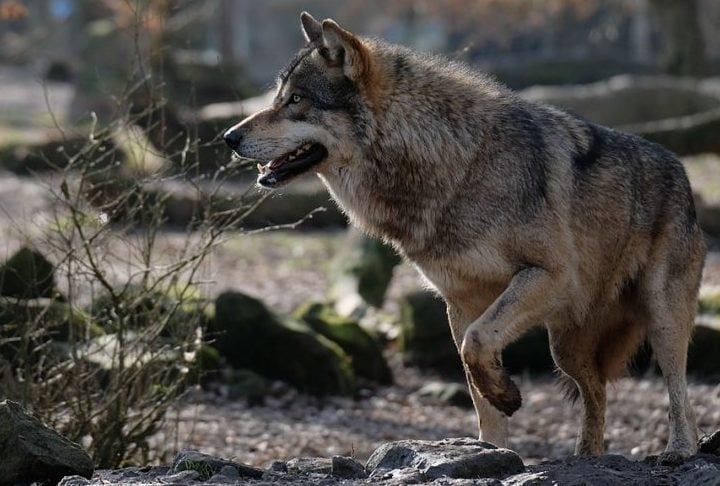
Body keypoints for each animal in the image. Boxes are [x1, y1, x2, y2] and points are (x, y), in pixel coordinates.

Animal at [222, 11, 704, 460]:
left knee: (679, 391)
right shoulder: (461, 302)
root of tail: (681, 171)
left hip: (659, 316)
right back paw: (587, 455)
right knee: (597, 392)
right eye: (278, 97)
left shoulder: (548, 275)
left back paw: (679, 450)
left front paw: (506, 396)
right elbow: (474, 373)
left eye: (296, 100)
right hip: (564, 346)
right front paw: (493, 447)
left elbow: (478, 344)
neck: (455, 163)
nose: (229, 136)